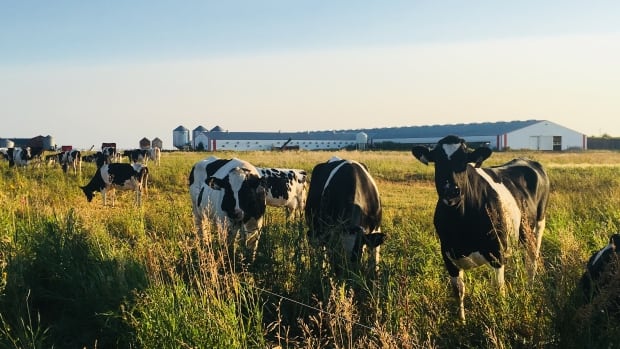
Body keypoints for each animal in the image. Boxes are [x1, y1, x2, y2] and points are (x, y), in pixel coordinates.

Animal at [410, 135, 548, 320]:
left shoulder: (496, 253)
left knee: (532, 260)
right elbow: (458, 291)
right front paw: (461, 321)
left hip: (537, 226)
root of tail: (527, 160)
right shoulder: (448, 255)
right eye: (438, 161)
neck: (460, 223)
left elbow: (498, 290)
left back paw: (530, 290)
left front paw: (501, 318)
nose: (451, 190)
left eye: (464, 161)